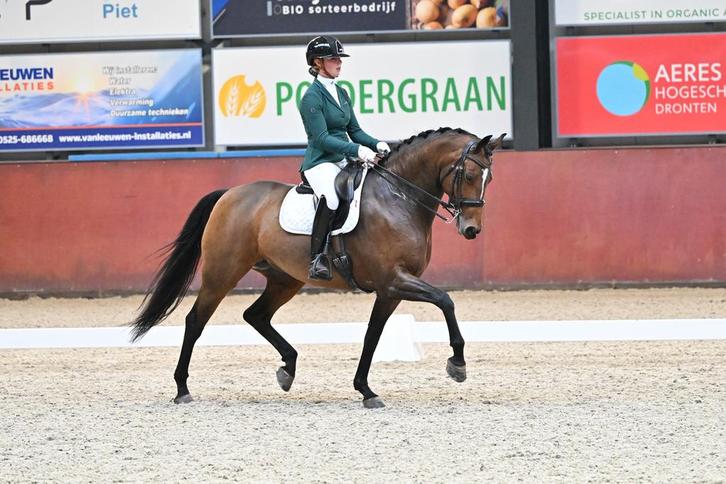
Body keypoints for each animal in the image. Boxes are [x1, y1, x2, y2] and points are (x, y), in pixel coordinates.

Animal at [130, 127, 505, 408]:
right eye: (470, 174)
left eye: (489, 179)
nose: (471, 230)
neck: (398, 198)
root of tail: (230, 194)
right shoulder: (394, 280)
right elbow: (446, 300)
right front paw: (457, 365)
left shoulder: (390, 290)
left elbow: (373, 335)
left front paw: (365, 390)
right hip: (221, 274)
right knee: (196, 321)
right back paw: (182, 389)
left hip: (284, 280)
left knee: (256, 315)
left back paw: (288, 369)